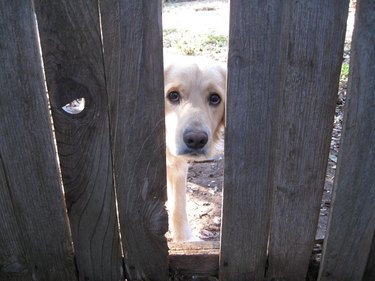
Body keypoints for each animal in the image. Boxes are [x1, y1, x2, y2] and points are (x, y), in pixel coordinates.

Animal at [164, 54, 226, 241]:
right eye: (173, 95)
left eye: (215, 98)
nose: (196, 140)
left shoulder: (178, 167)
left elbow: (178, 204)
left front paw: (184, 240)